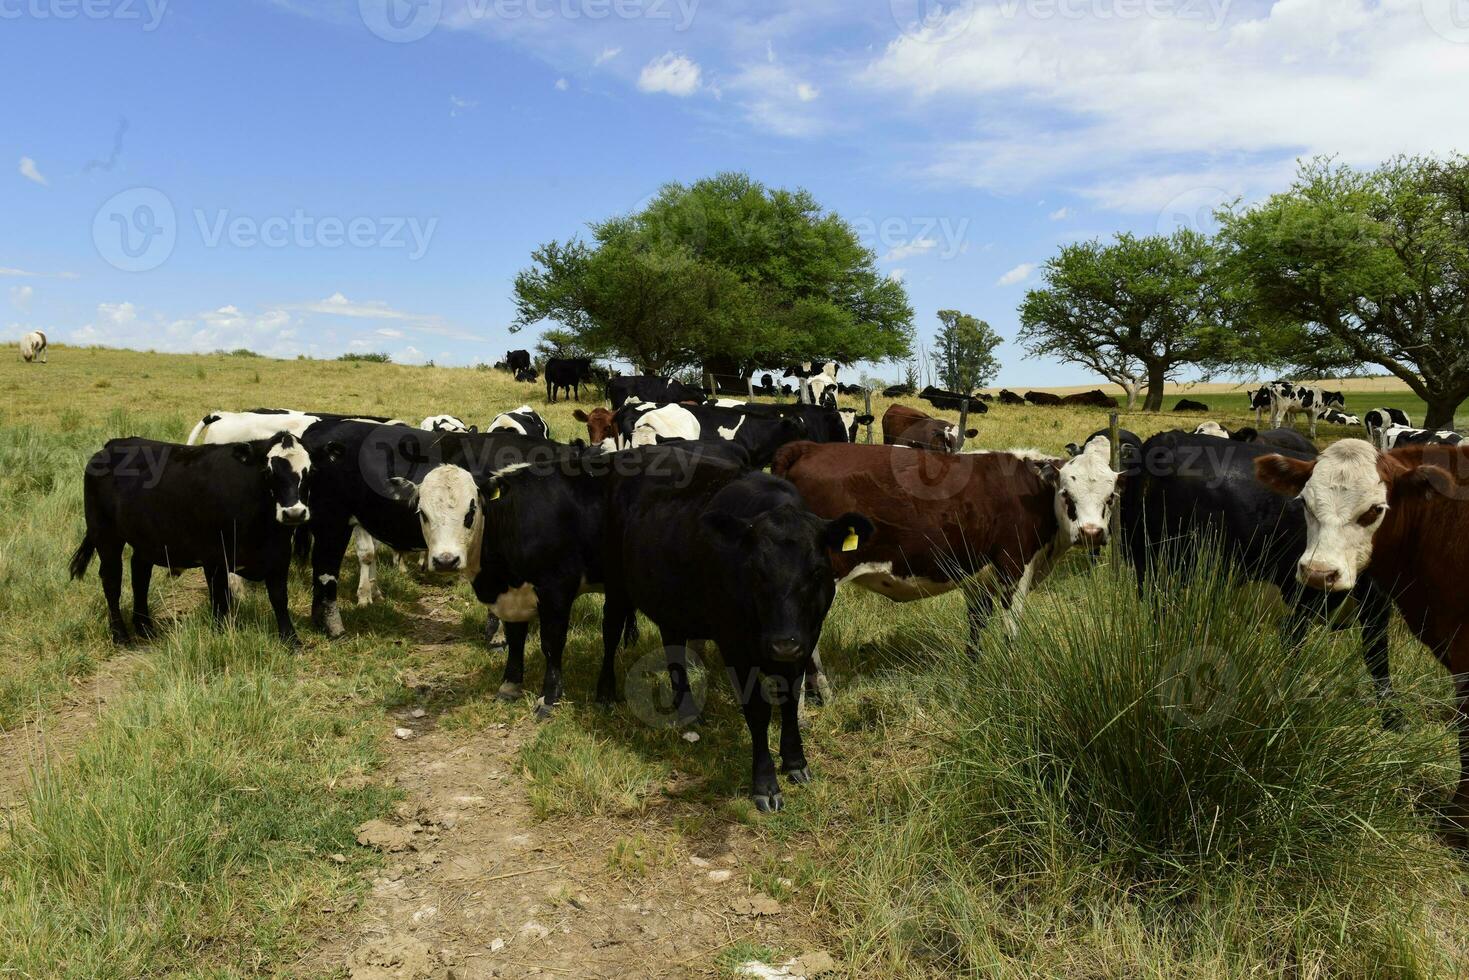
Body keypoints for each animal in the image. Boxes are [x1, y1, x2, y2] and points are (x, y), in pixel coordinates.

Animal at [69, 431, 321, 646]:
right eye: (268, 472)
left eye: (310, 472)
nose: (294, 513)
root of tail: (113, 445)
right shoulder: (215, 558)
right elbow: (220, 600)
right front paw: (221, 635)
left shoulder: (279, 554)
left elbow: (279, 597)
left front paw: (291, 640)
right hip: (105, 535)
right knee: (111, 580)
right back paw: (120, 635)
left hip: (146, 538)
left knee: (140, 574)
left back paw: (145, 628)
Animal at [599, 446, 869, 811]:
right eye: (756, 570)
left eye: (816, 571)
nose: (783, 644)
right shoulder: (736, 644)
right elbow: (757, 709)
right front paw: (766, 784)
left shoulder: (807, 636)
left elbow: (789, 698)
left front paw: (796, 763)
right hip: (615, 580)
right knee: (610, 630)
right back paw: (604, 692)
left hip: (672, 600)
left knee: (673, 648)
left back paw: (687, 711)